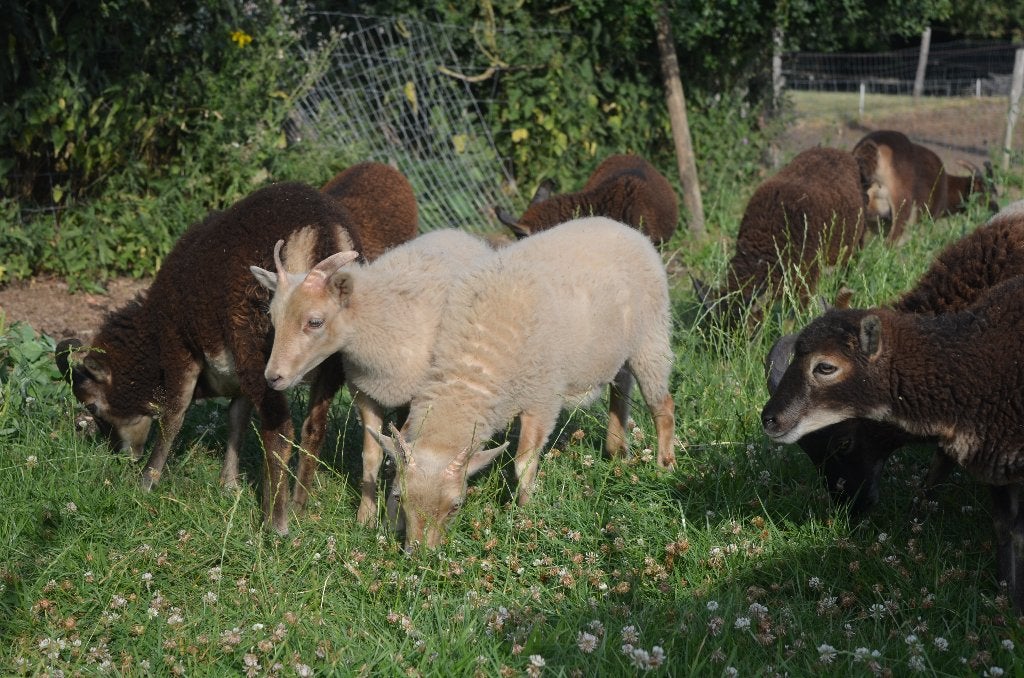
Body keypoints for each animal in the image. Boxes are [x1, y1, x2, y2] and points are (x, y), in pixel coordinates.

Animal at [55, 181, 362, 535]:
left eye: (93, 406)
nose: (121, 456)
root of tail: (319, 230)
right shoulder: (238, 374)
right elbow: (237, 416)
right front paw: (228, 484)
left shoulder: (180, 346)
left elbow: (174, 414)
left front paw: (146, 482)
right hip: (329, 364)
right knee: (314, 428)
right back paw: (298, 506)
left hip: (260, 350)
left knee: (280, 430)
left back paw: (277, 522)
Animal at [249, 228, 493, 527]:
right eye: (272, 318)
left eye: (315, 322)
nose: (273, 377)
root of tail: (456, 232)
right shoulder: (364, 392)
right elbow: (373, 454)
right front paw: (365, 517)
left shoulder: (419, 396)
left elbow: (401, 453)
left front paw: (391, 514)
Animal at [369, 216, 677, 550]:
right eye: (400, 497)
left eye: (456, 506)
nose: (418, 554)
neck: (472, 372)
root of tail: (620, 225)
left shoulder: (542, 399)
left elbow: (524, 464)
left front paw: (526, 514)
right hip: (617, 351)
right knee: (620, 389)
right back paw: (616, 450)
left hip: (652, 337)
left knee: (663, 407)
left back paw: (665, 467)